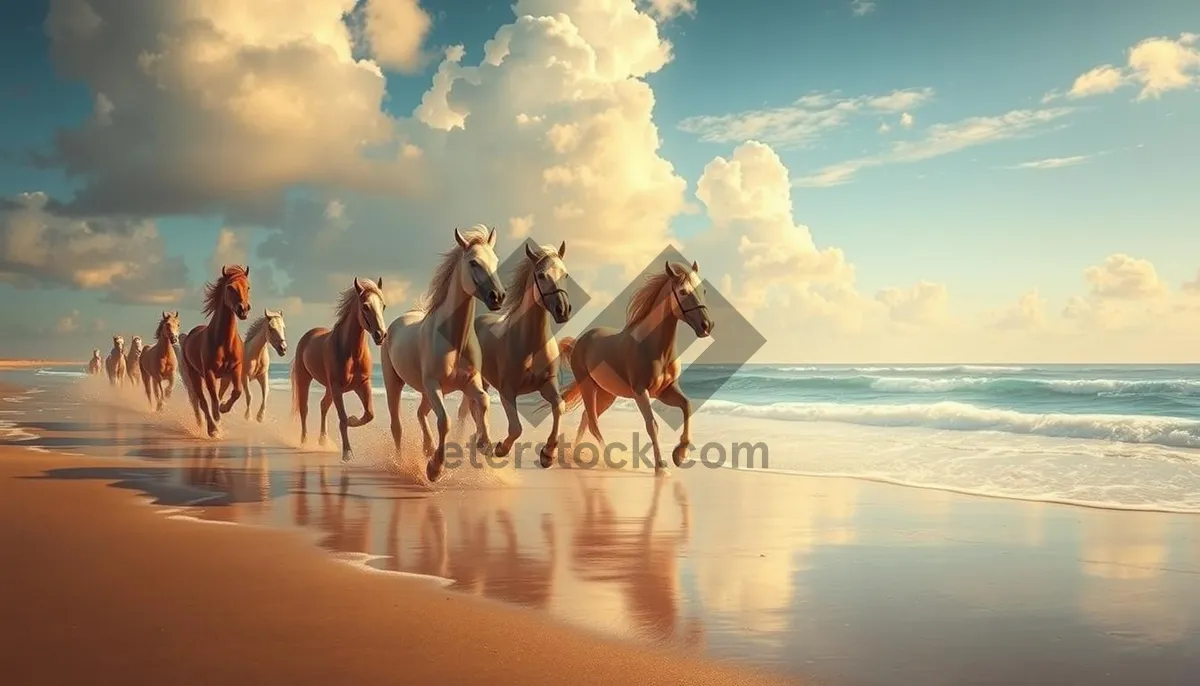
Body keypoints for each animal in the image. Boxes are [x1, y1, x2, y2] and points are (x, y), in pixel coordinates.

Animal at [180, 265, 248, 436]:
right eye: (230, 287)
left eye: (248, 287)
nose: (243, 310)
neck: (224, 342)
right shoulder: (209, 372)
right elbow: (212, 399)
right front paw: (216, 420)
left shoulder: (235, 369)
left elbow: (236, 391)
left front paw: (223, 408)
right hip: (195, 375)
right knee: (202, 401)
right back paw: (212, 429)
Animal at [289, 277, 386, 460]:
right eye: (365, 306)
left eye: (383, 305)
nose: (381, 335)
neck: (351, 353)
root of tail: (309, 334)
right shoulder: (337, 388)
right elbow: (342, 418)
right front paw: (347, 453)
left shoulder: (362, 385)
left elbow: (369, 414)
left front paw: (353, 419)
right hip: (306, 380)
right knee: (304, 409)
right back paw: (304, 441)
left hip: (329, 388)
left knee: (323, 405)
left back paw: (323, 440)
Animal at [381, 225, 508, 482]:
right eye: (473, 262)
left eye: (495, 260)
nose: (498, 297)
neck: (453, 343)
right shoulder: (434, 386)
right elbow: (445, 422)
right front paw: (434, 469)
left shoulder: (470, 383)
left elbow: (483, 401)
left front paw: (484, 444)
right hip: (395, 384)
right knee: (396, 426)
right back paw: (401, 463)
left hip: (423, 392)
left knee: (420, 413)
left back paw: (427, 448)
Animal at [456, 237, 573, 465]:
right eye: (541, 275)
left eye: (565, 274)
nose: (563, 310)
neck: (529, 345)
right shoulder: (507, 392)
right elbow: (516, 428)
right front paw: (501, 448)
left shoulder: (548, 385)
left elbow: (559, 407)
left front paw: (548, 454)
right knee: (470, 410)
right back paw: (479, 442)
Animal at [552, 261, 710, 472]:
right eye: (683, 291)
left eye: (703, 290)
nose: (706, 325)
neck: (653, 346)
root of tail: (579, 341)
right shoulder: (641, 392)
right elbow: (652, 425)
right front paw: (661, 466)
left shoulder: (664, 391)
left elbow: (687, 406)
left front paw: (680, 454)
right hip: (588, 387)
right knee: (592, 421)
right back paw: (608, 458)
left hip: (607, 393)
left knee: (587, 417)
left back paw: (576, 455)